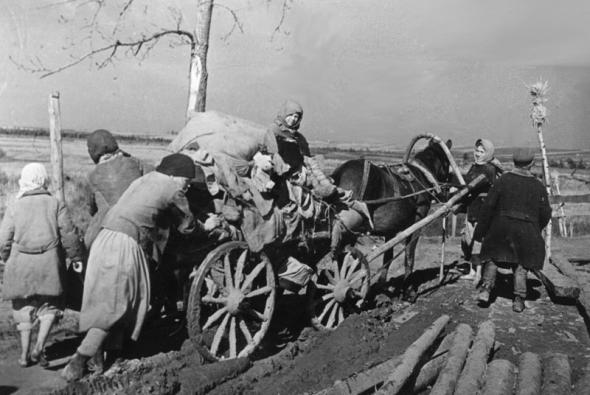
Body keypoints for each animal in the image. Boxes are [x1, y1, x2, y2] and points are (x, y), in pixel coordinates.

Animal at [332, 139, 454, 304]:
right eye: (447, 163)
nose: (447, 192)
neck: (421, 175)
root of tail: (340, 172)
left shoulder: (390, 229)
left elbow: (387, 257)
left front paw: (381, 288)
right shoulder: (416, 223)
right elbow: (409, 255)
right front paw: (408, 290)